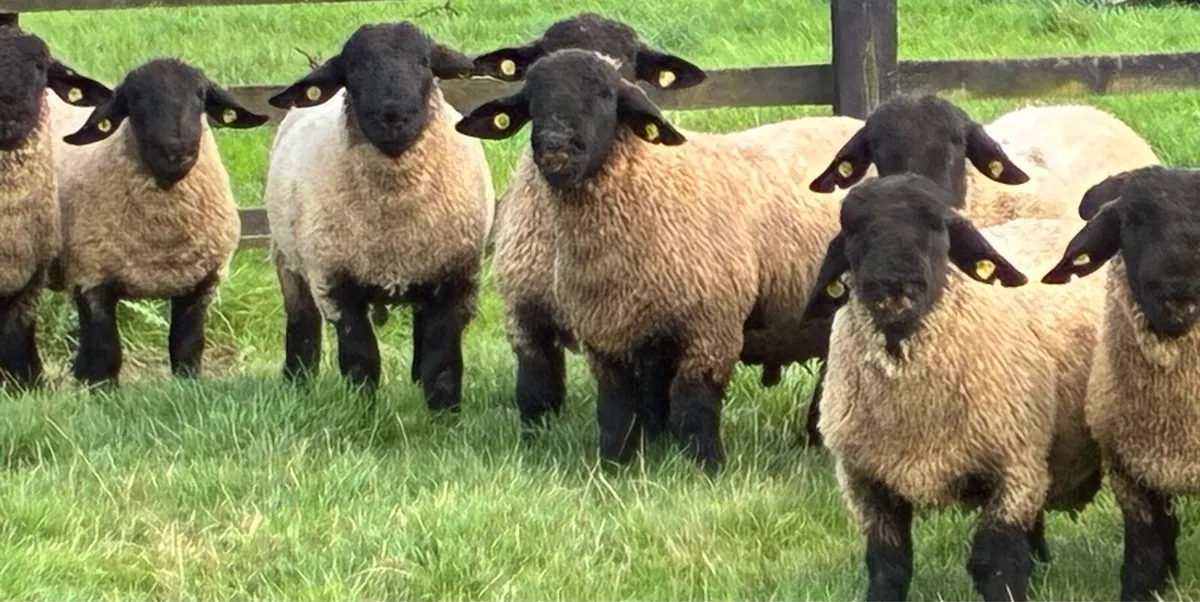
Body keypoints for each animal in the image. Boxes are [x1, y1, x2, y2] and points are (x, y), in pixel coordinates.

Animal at [50, 58, 268, 387]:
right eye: (135, 99)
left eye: (200, 96)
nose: (177, 152)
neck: (162, 241)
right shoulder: (92, 277)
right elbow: (105, 353)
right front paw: (103, 392)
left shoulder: (201, 283)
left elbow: (186, 348)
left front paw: (187, 386)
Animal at [263, 22, 494, 412]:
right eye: (353, 69)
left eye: (424, 62)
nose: (393, 116)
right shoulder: (335, 284)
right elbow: (360, 359)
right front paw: (362, 412)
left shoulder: (456, 280)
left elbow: (442, 362)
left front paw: (444, 415)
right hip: (287, 258)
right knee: (301, 323)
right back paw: (297, 382)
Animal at [473, 14, 864, 441]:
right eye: (539, 61)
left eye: (630, 67)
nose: (557, 145)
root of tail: (854, 120)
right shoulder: (528, 317)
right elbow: (537, 394)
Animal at [800, 174, 1105, 601]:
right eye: (852, 229)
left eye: (937, 225)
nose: (893, 286)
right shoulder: (865, 481)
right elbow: (887, 563)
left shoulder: (1012, 468)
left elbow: (995, 562)